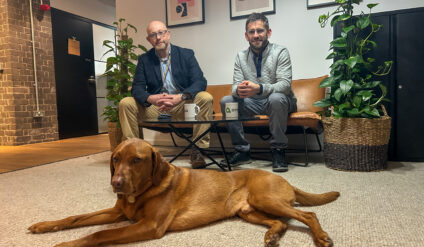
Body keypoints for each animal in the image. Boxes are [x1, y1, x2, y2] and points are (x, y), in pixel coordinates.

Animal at [29, 139, 342, 247]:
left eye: (137, 160)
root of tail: (278, 176)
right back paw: (272, 236)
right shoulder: (119, 212)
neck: (142, 191)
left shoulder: (150, 226)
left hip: (264, 198)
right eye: (115, 158)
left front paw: (64, 245)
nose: (116, 183)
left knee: (308, 214)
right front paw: (45, 225)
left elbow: (98, 234)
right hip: (249, 211)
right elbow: (74, 218)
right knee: (281, 223)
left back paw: (322, 237)